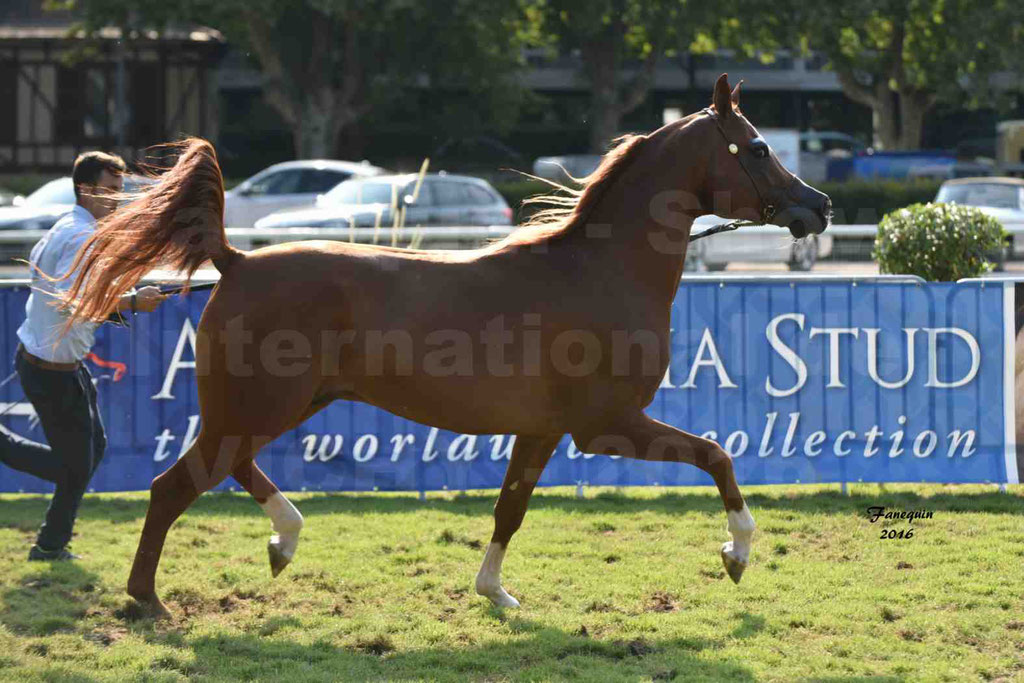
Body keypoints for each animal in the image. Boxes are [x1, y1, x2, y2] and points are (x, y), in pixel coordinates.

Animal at [61, 72, 823, 618]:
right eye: (758, 148)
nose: (820, 207)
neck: (600, 271)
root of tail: (238, 260)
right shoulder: (606, 426)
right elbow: (717, 455)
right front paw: (737, 554)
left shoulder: (543, 431)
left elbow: (511, 508)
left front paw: (495, 592)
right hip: (259, 407)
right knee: (174, 485)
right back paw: (150, 600)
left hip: (279, 405)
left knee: (229, 469)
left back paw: (283, 537)